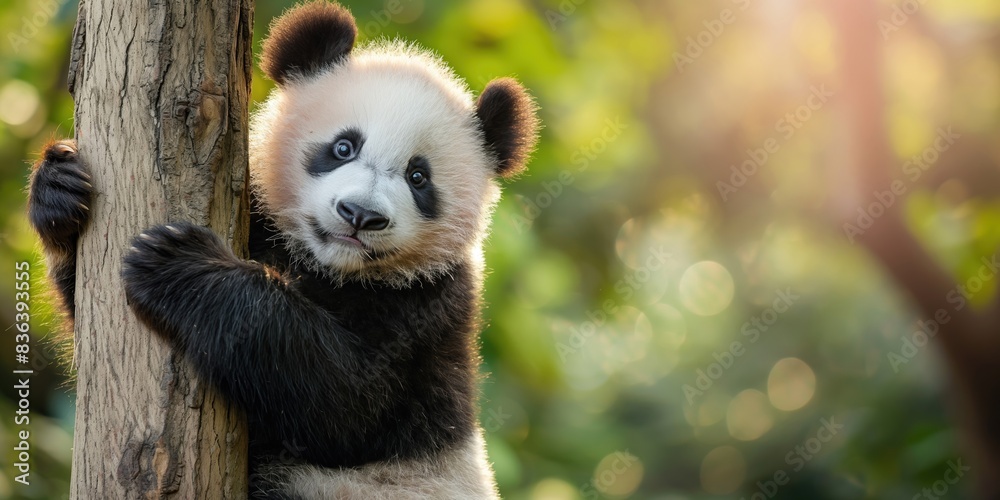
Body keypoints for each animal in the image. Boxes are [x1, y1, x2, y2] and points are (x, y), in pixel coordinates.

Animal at [26, 1, 539, 498]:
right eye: (343, 147)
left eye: (419, 177)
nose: (359, 215)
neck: (326, 266)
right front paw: (59, 190)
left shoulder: (428, 312)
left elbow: (344, 402)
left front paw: (178, 264)